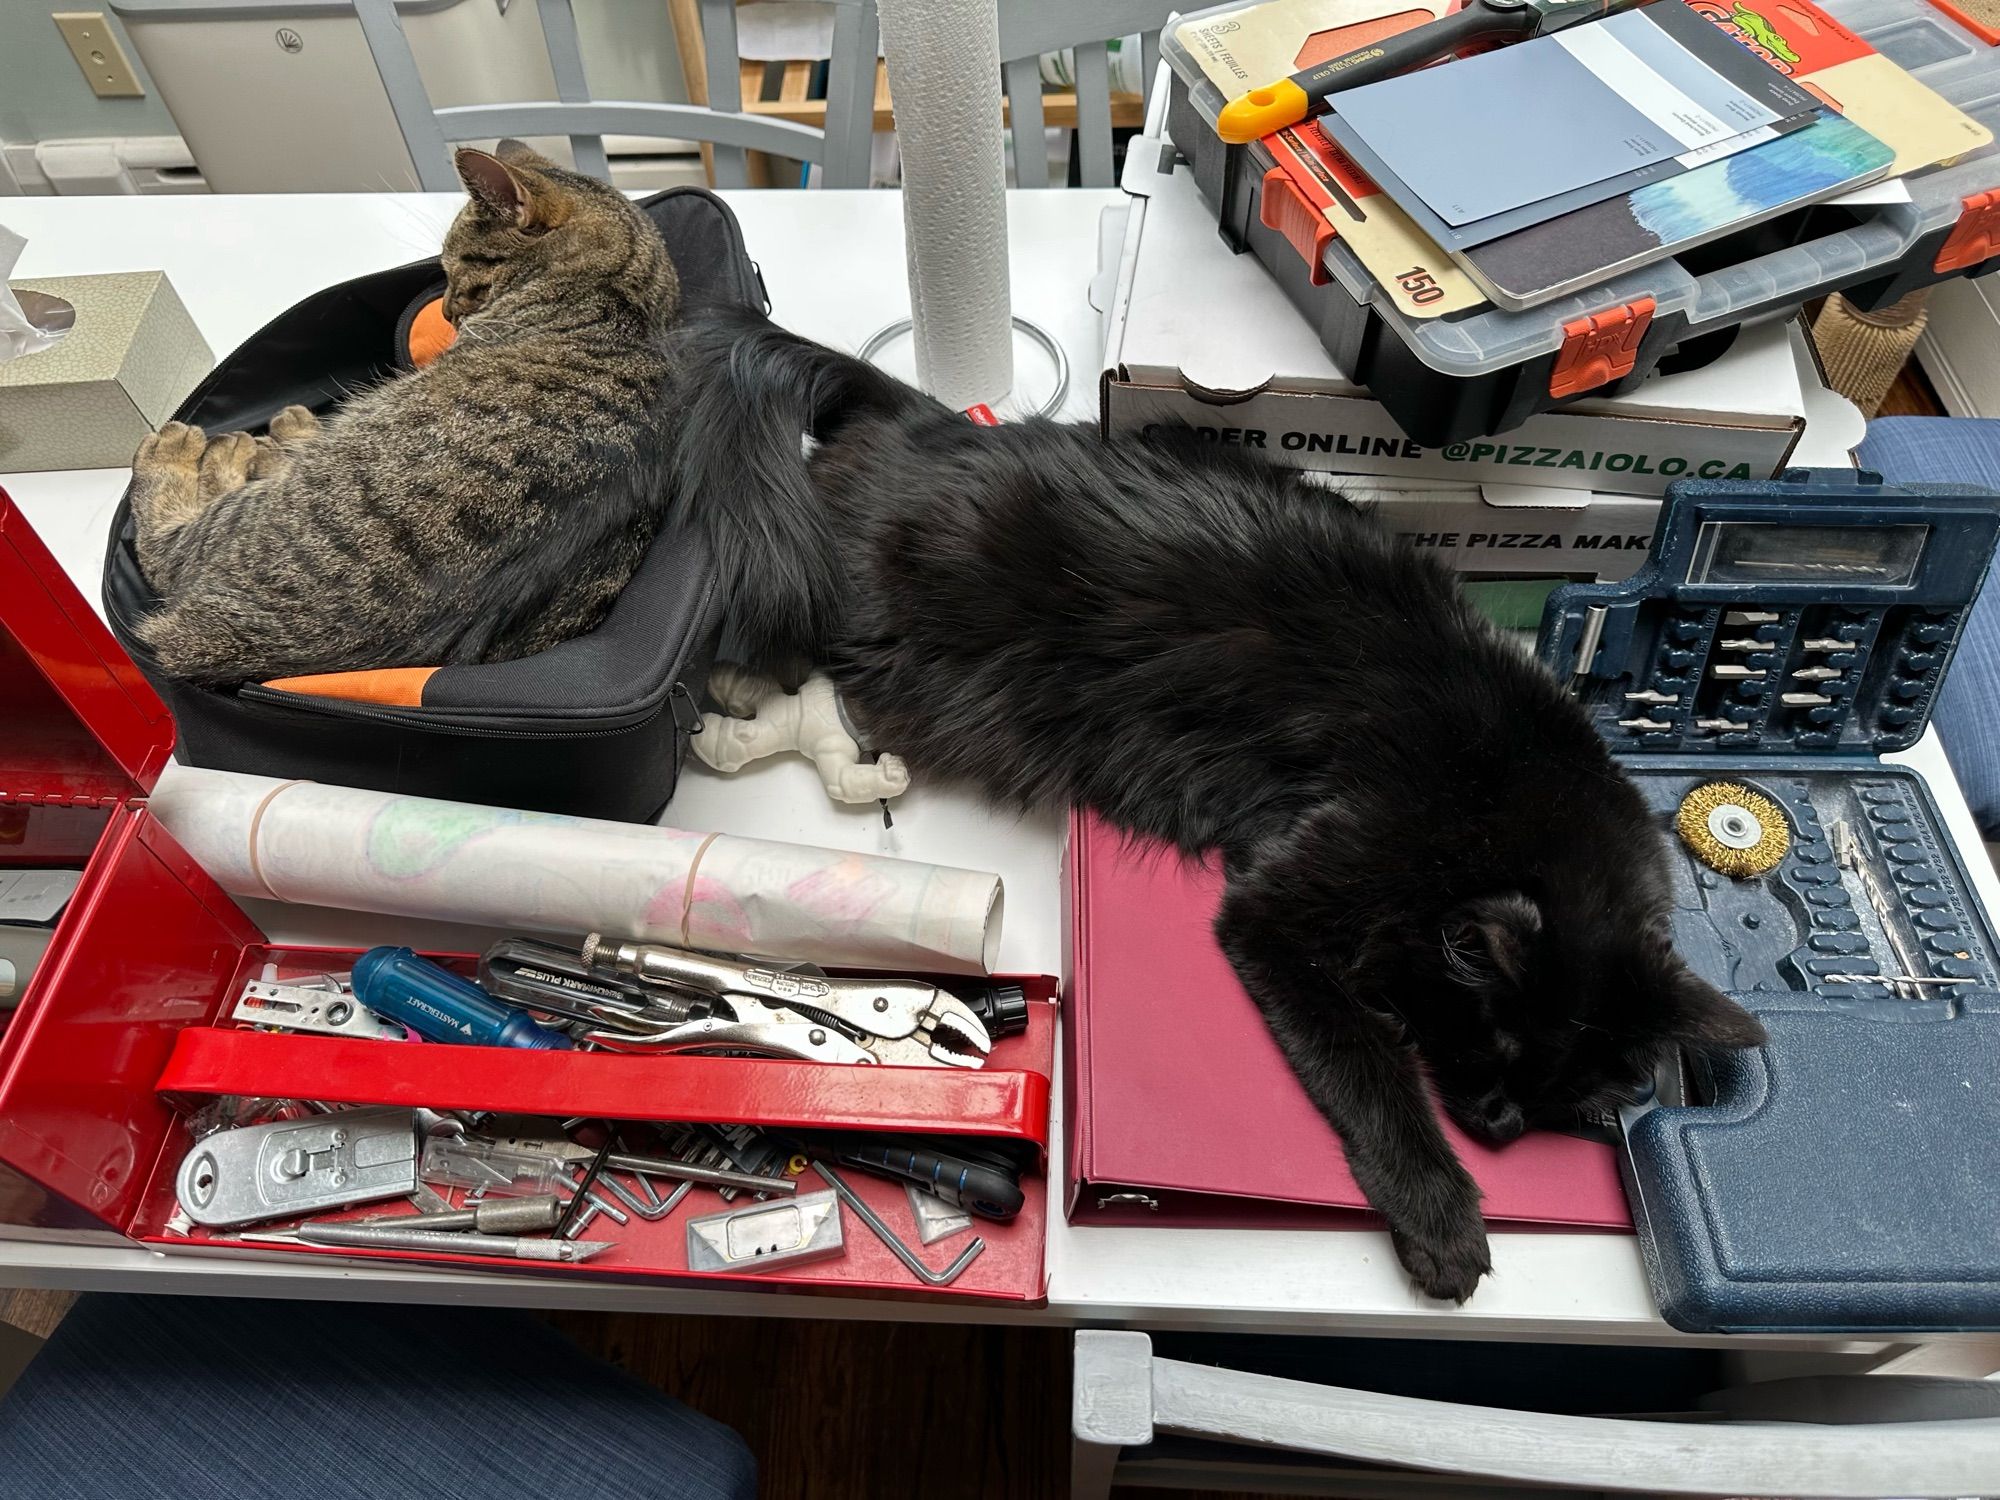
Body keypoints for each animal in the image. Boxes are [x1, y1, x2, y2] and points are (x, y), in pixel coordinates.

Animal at [135, 141, 680, 680]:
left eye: (457, 268)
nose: (447, 312)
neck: (624, 303)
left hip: (253, 513)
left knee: (164, 549)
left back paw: (209, 446)